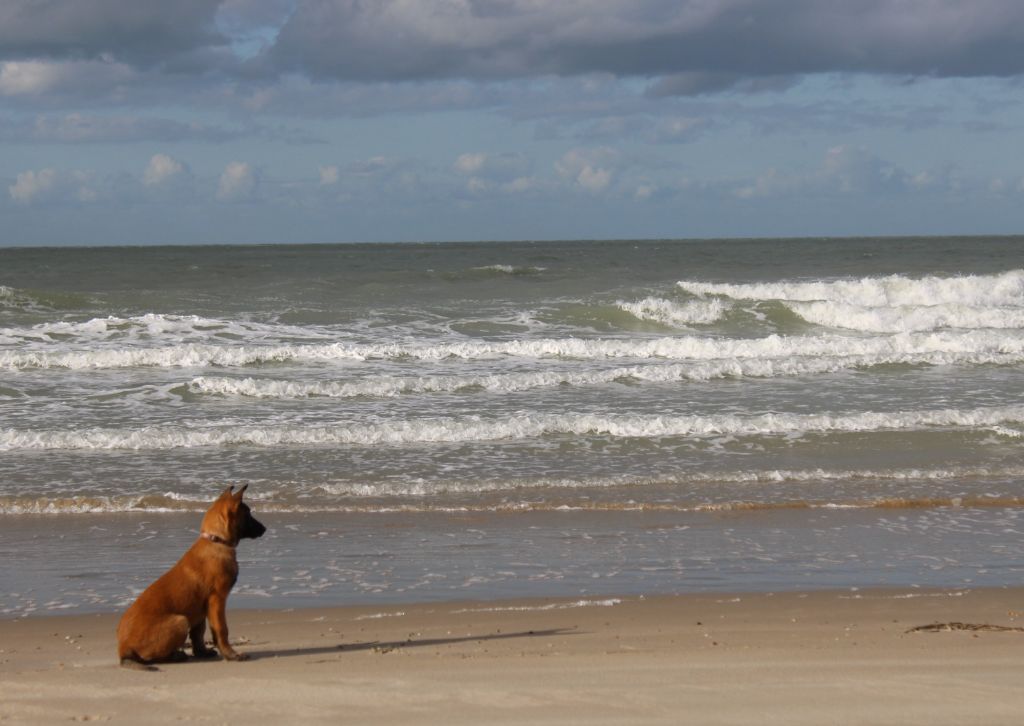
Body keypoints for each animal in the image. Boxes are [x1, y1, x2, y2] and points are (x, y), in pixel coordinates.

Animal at [117, 485, 266, 670]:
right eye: (248, 515)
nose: (264, 529)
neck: (216, 541)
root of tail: (123, 649)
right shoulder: (217, 599)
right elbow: (221, 630)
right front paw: (231, 654)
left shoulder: (201, 608)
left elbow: (198, 633)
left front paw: (202, 652)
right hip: (180, 621)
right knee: (149, 657)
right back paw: (175, 656)